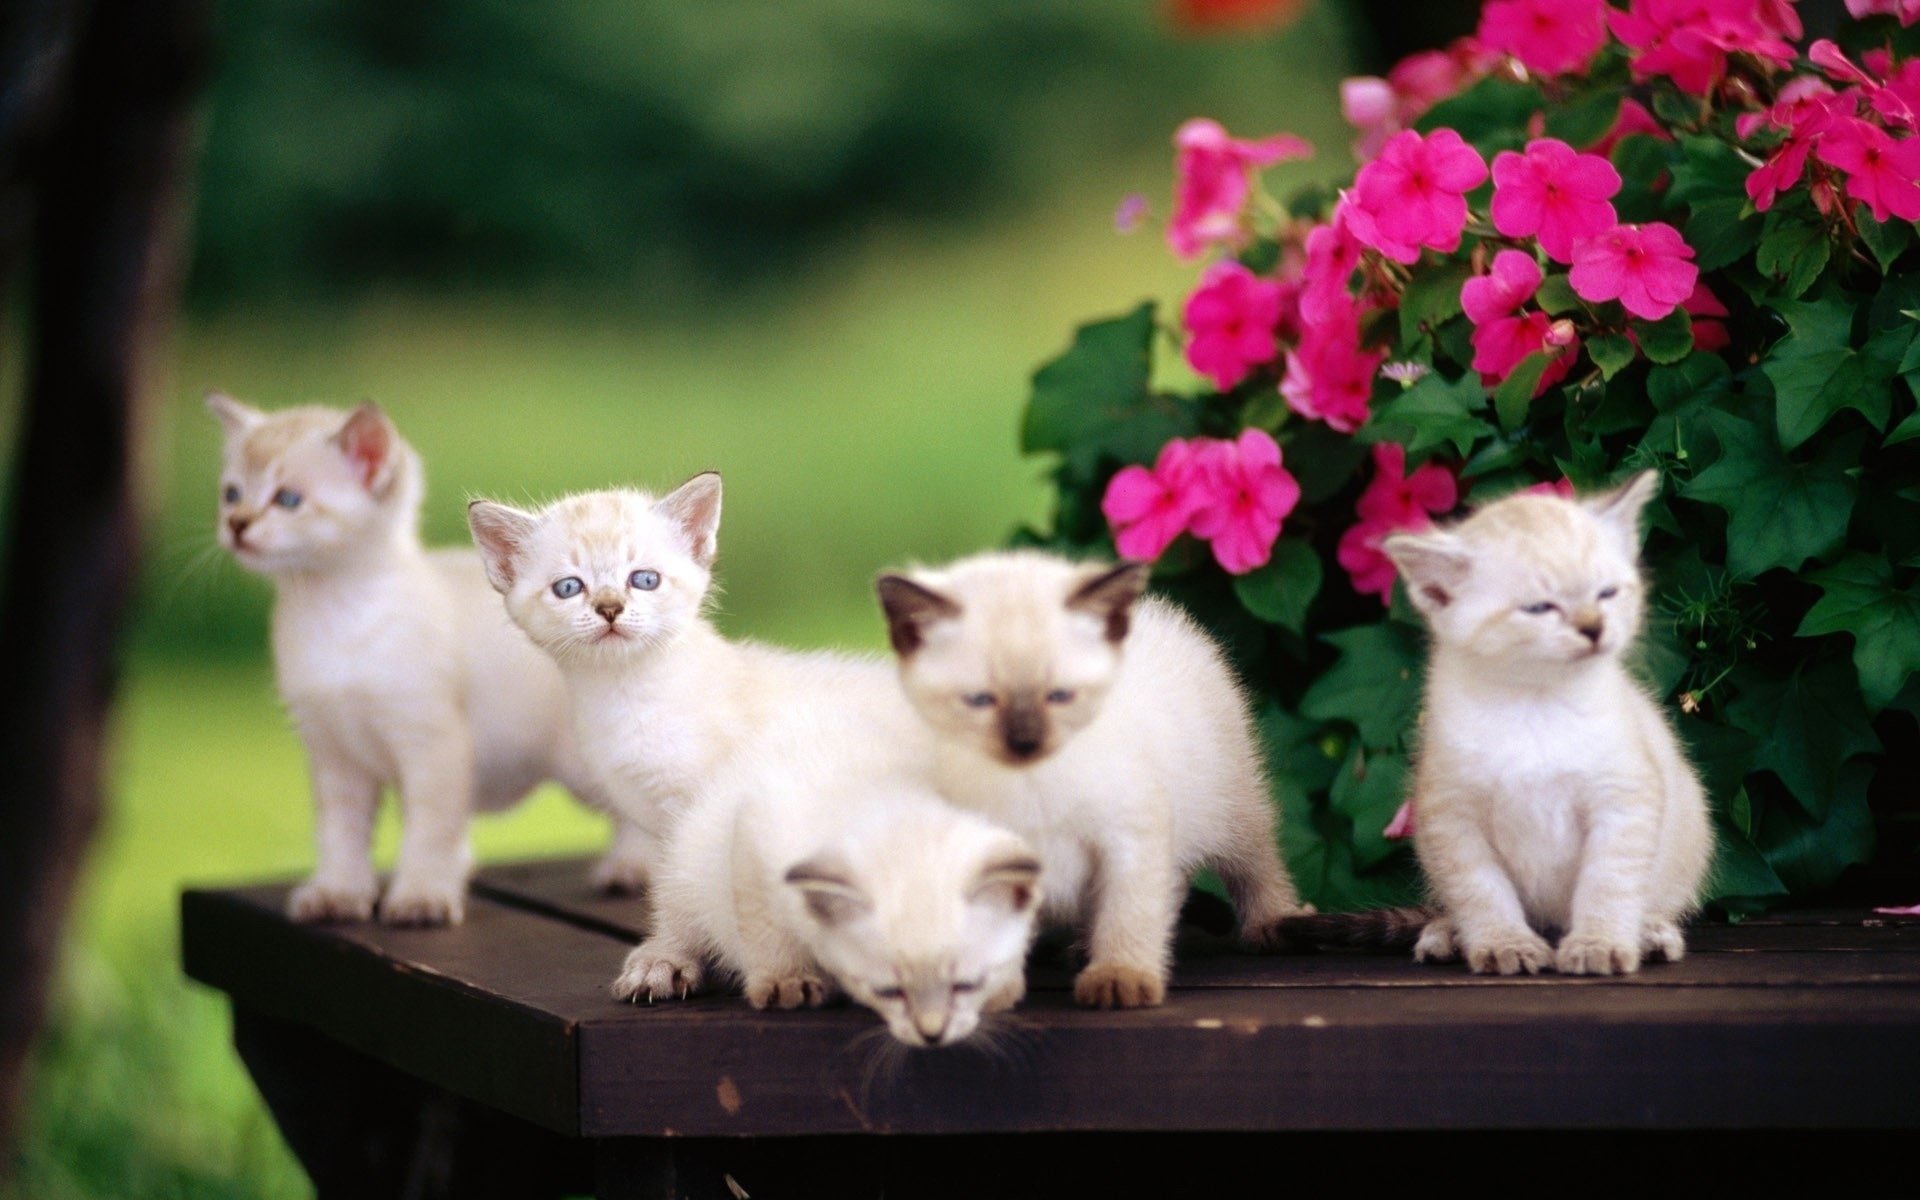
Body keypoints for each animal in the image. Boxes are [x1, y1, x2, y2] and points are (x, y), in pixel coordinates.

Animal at [208, 387, 645, 921]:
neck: (329, 615)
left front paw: (421, 896)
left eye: (287, 499)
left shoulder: (432, 743)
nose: (236, 524)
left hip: (583, 770)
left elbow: (429, 831)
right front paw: (339, 892)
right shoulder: (333, 755)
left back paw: (631, 868)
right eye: (231, 494)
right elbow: (340, 835)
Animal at [606, 702, 1044, 1044]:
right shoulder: (757, 824)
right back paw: (658, 966)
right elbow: (762, 922)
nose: (932, 1031)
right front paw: (786, 982)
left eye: (965, 980)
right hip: (686, 856)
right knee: (677, 919)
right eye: (890, 985)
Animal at [875, 552, 1305, 1013]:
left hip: (1230, 799)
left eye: (1061, 694)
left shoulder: (1132, 832)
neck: (1032, 783)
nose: (1025, 742)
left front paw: (1120, 975)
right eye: (979, 699)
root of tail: (1152, 616)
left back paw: (1274, 922)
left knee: (1254, 859)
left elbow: (1130, 910)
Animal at [1274, 470, 1712, 975]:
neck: (1535, 702)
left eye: (1606, 594)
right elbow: (1482, 891)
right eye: (1540, 608)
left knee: (1654, 901)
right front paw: (1505, 945)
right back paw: (1446, 936)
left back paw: (1650, 933)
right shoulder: (1451, 815)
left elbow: (1607, 884)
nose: (1594, 628)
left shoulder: (1623, 800)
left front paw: (1597, 944)